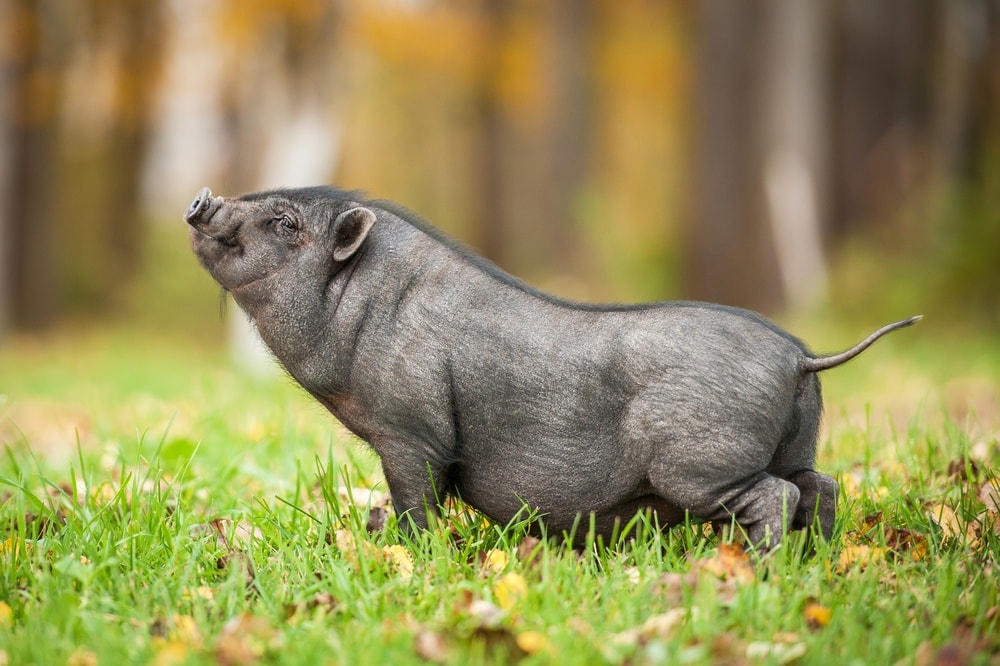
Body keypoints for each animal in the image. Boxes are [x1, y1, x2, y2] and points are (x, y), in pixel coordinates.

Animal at [185, 185, 920, 551]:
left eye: (286, 222)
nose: (202, 198)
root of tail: (798, 356)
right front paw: (376, 531)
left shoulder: (409, 427)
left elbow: (417, 493)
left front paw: (406, 550)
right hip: (797, 440)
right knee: (820, 484)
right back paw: (812, 561)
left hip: (701, 462)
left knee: (779, 496)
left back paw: (754, 566)